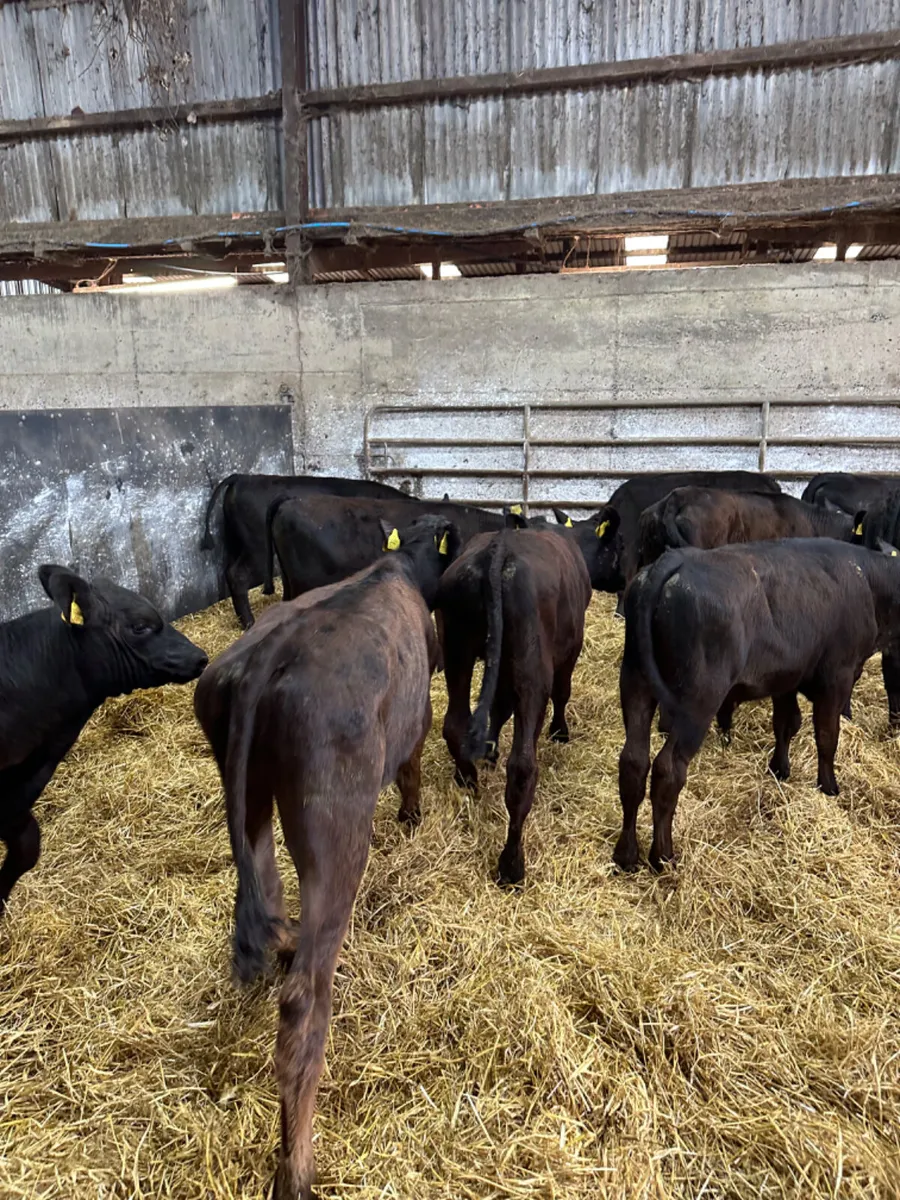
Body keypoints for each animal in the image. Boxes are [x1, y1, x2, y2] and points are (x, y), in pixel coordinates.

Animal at [193, 515, 457, 1200]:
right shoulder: (419, 715)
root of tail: (263, 661)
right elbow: (413, 766)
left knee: (263, 891)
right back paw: (298, 1168)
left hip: (251, 799)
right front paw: (413, 815)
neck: (397, 564)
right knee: (303, 1002)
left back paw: (281, 940)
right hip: (337, 832)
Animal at [435, 525, 592, 885]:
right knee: (522, 766)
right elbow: (562, 692)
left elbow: (498, 707)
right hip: (532, 666)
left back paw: (469, 780)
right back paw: (511, 865)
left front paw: (489, 750)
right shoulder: (571, 647)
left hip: (457, 647)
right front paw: (560, 731)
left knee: (455, 723)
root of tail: (498, 550)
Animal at [615, 539, 900, 873]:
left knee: (633, 762)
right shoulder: (837, 676)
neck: (868, 578)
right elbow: (827, 737)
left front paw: (780, 768)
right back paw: (663, 856)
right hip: (698, 700)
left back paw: (626, 855)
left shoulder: (786, 678)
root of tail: (674, 560)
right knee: (668, 770)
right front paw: (828, 786)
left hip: (635, 682)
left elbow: (786, 724)